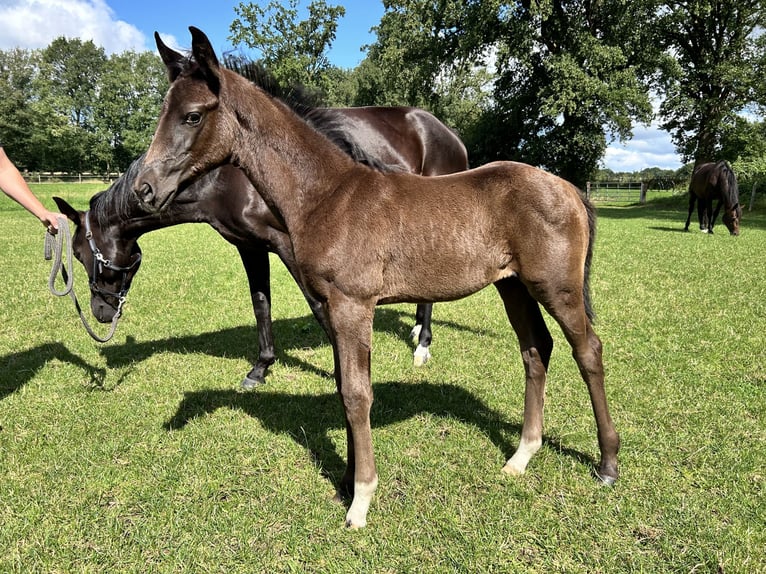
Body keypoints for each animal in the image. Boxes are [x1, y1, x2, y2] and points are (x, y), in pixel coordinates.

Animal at [134, 28, 624, 532]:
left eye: (192, 115)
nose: (144, 190)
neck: (327, 194)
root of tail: (571, 190)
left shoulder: (353, 304)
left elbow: (356, 394)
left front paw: (361, 500)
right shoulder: (330, 305)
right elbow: (341, 385)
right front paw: (346, 480)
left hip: (557, 287)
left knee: (588, 350)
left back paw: (607, 463)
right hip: (513, 286)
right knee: (535, 350)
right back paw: (521, 455)